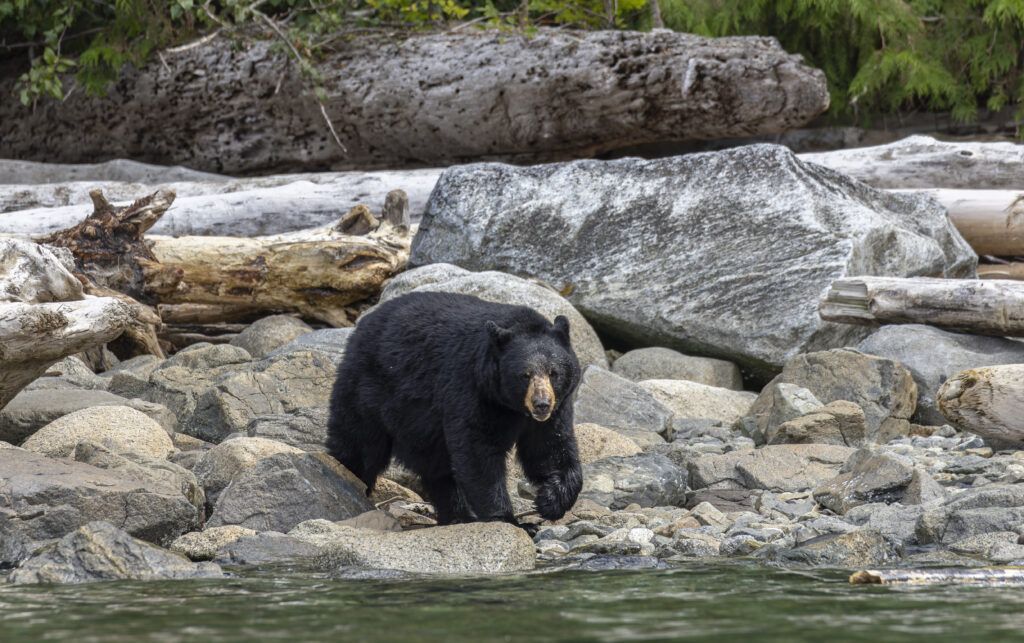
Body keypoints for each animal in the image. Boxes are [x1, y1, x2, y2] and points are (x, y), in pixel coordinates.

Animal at [327, 290, 585, 528]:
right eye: (525, 375)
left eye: (554, 372)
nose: (542, 404)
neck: (510, 405)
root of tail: (361, 325)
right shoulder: (470, 389)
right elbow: (477, 450)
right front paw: (508, 519)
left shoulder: (556, 409)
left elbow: (548, 448)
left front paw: (551, 500)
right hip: (368, 390)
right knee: (359, 443)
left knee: (437, 468)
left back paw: (458, 516)